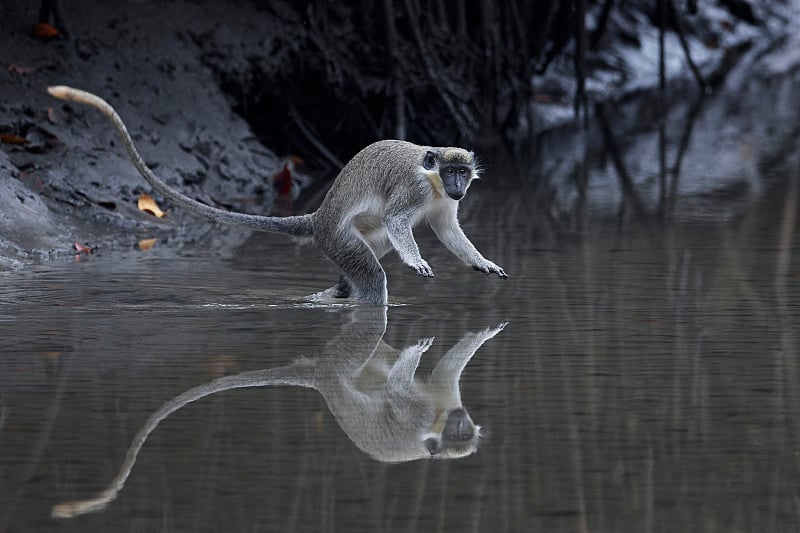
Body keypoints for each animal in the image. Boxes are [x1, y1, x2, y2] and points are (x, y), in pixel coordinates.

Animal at [48, 87, 506, 304]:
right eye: (449, 171)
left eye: (462, 173)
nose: (458, 186)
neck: (433, 183)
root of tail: (319, 217)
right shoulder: (413, 189)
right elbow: (398, 220)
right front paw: (417, 261)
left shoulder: (443, 203)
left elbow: (447, 230)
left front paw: (481, 261)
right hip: (338, 240)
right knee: (373, 278)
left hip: (356, 240)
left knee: (363, 267)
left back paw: (337, 293)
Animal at [50, 310, 504, 516]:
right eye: (457, 432)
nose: (462, 424)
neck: (436, 421)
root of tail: (322, 381)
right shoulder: (418, 415)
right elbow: (398, 391)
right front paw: (418, 351)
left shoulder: (445, 401)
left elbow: (450, 369)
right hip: (345, 367)